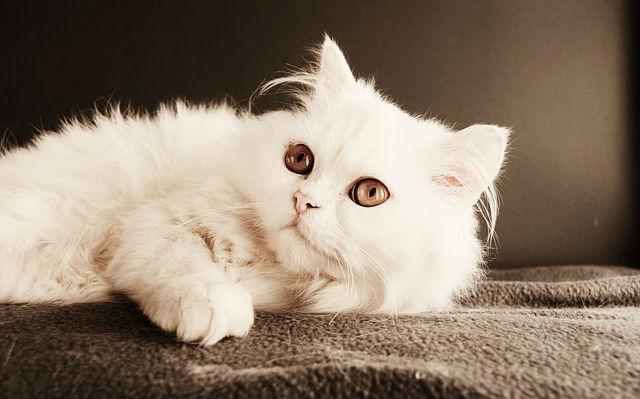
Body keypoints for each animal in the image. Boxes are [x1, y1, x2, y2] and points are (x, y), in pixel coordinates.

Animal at [0, 36, 510, 346]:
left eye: (369, 194)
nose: (304, 201)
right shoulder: (155, 221)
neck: (269, 267)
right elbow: (185, 264)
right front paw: (214, 307)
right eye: (299, 160)